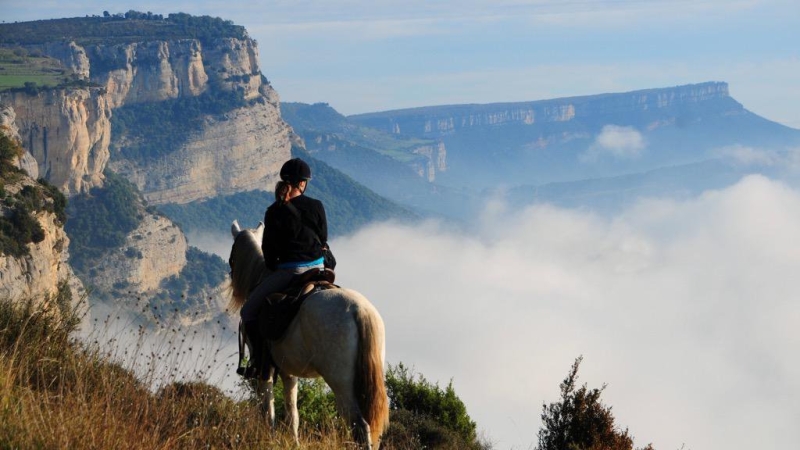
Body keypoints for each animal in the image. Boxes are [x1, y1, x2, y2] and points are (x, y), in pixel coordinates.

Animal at [227, 220, 390, 448]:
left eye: (233, 253)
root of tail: (359, 310)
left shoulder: (264, 368)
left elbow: (267, 409)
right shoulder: (288, 371)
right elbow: (292, 412)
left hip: (341, 383)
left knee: (359, 425)